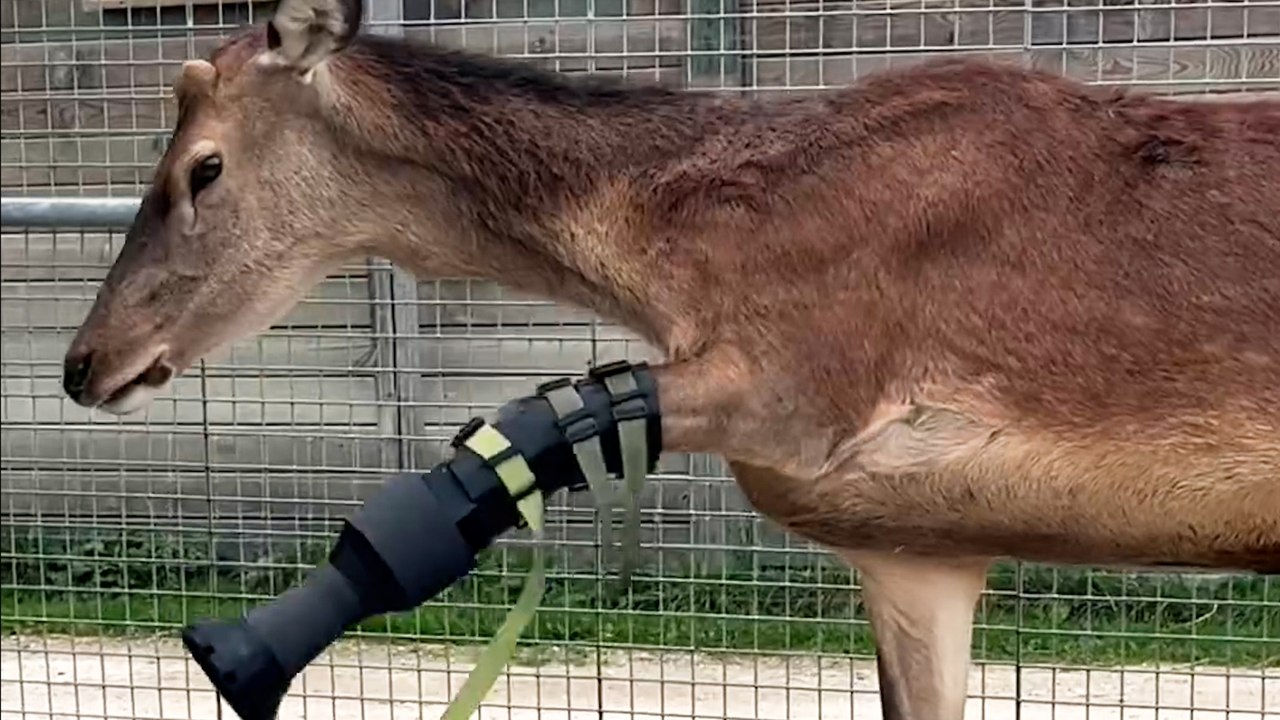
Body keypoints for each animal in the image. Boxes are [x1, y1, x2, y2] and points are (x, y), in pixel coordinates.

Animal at [58, 0, 1279, 717]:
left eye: (201, 167)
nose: (86, 361)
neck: (692, 247)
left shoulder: (812, 388)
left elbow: (535, 425)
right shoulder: (919, 548)